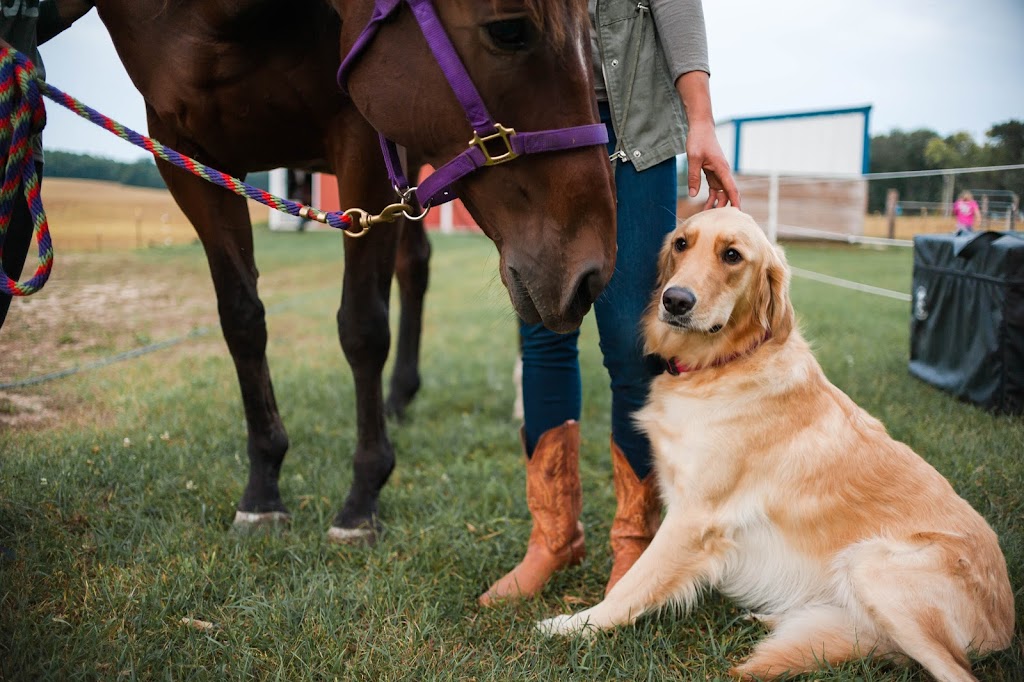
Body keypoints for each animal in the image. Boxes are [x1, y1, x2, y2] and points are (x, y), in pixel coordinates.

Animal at [92, 1, 610, 540]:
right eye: (509, 31)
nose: (590, 270)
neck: (223, 22)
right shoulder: (185, 153)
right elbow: (241, 320)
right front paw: (262, 490)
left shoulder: (364, 138)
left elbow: (362, 327)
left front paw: (362, 498)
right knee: (415, 267)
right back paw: (398, 397)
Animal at [540, 208, 1011, 679]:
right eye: (681, 244)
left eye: (732, 255)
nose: (674, 301)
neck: (725, 362)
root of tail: (1003, 626)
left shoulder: (694, 517)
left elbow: (632, 584)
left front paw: (575, 625)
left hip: (871, 565)